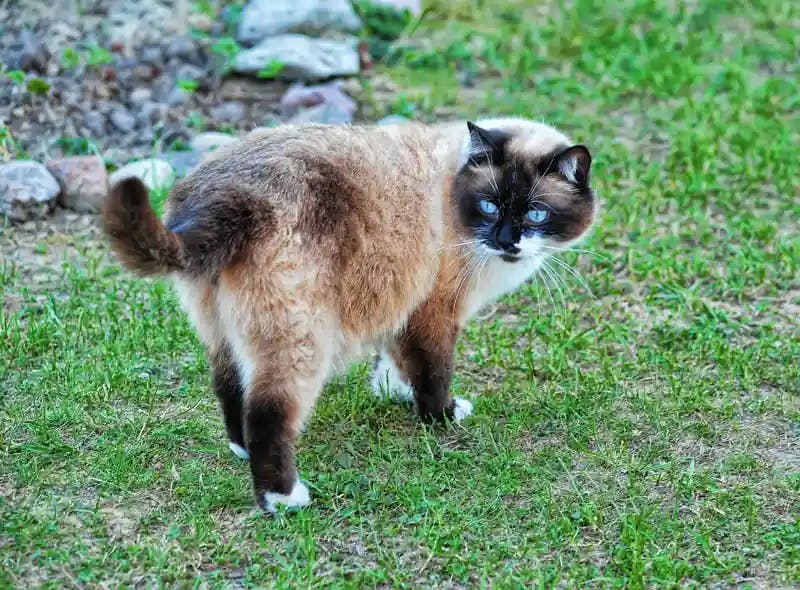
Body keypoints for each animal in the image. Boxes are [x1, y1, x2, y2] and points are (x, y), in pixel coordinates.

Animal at [103, 117, 592, 512]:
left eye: (536, 213)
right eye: (490, 205)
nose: (508, 241)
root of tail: (220, 199)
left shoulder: (403, 306)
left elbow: (396, 363)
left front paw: (394, 392)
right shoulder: (435, 311)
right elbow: (434, 373)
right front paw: (443, 416)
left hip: (224, 333)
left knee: (229, 388)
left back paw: (239, 449)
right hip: (302, 339)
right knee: (267, 414)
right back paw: (283, 499)